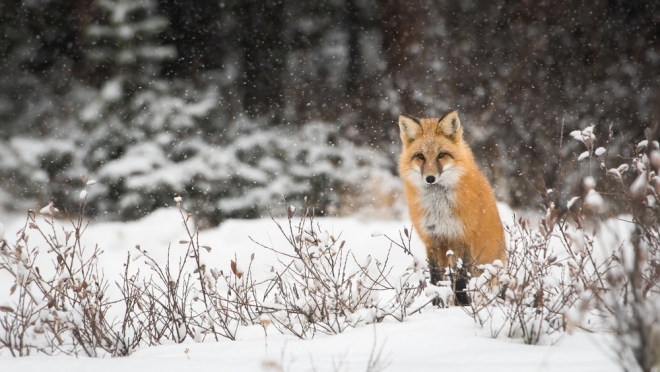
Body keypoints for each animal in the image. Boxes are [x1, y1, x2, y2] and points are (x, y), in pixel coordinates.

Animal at [398, 110, 506, 288]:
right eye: (420, 156)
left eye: (441, 155)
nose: (430, 178)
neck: (439, 208)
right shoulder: (432, 239)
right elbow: (435, 277)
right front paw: (437, 296)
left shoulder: (463, 238)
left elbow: (461, 279)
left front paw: (461, 297)